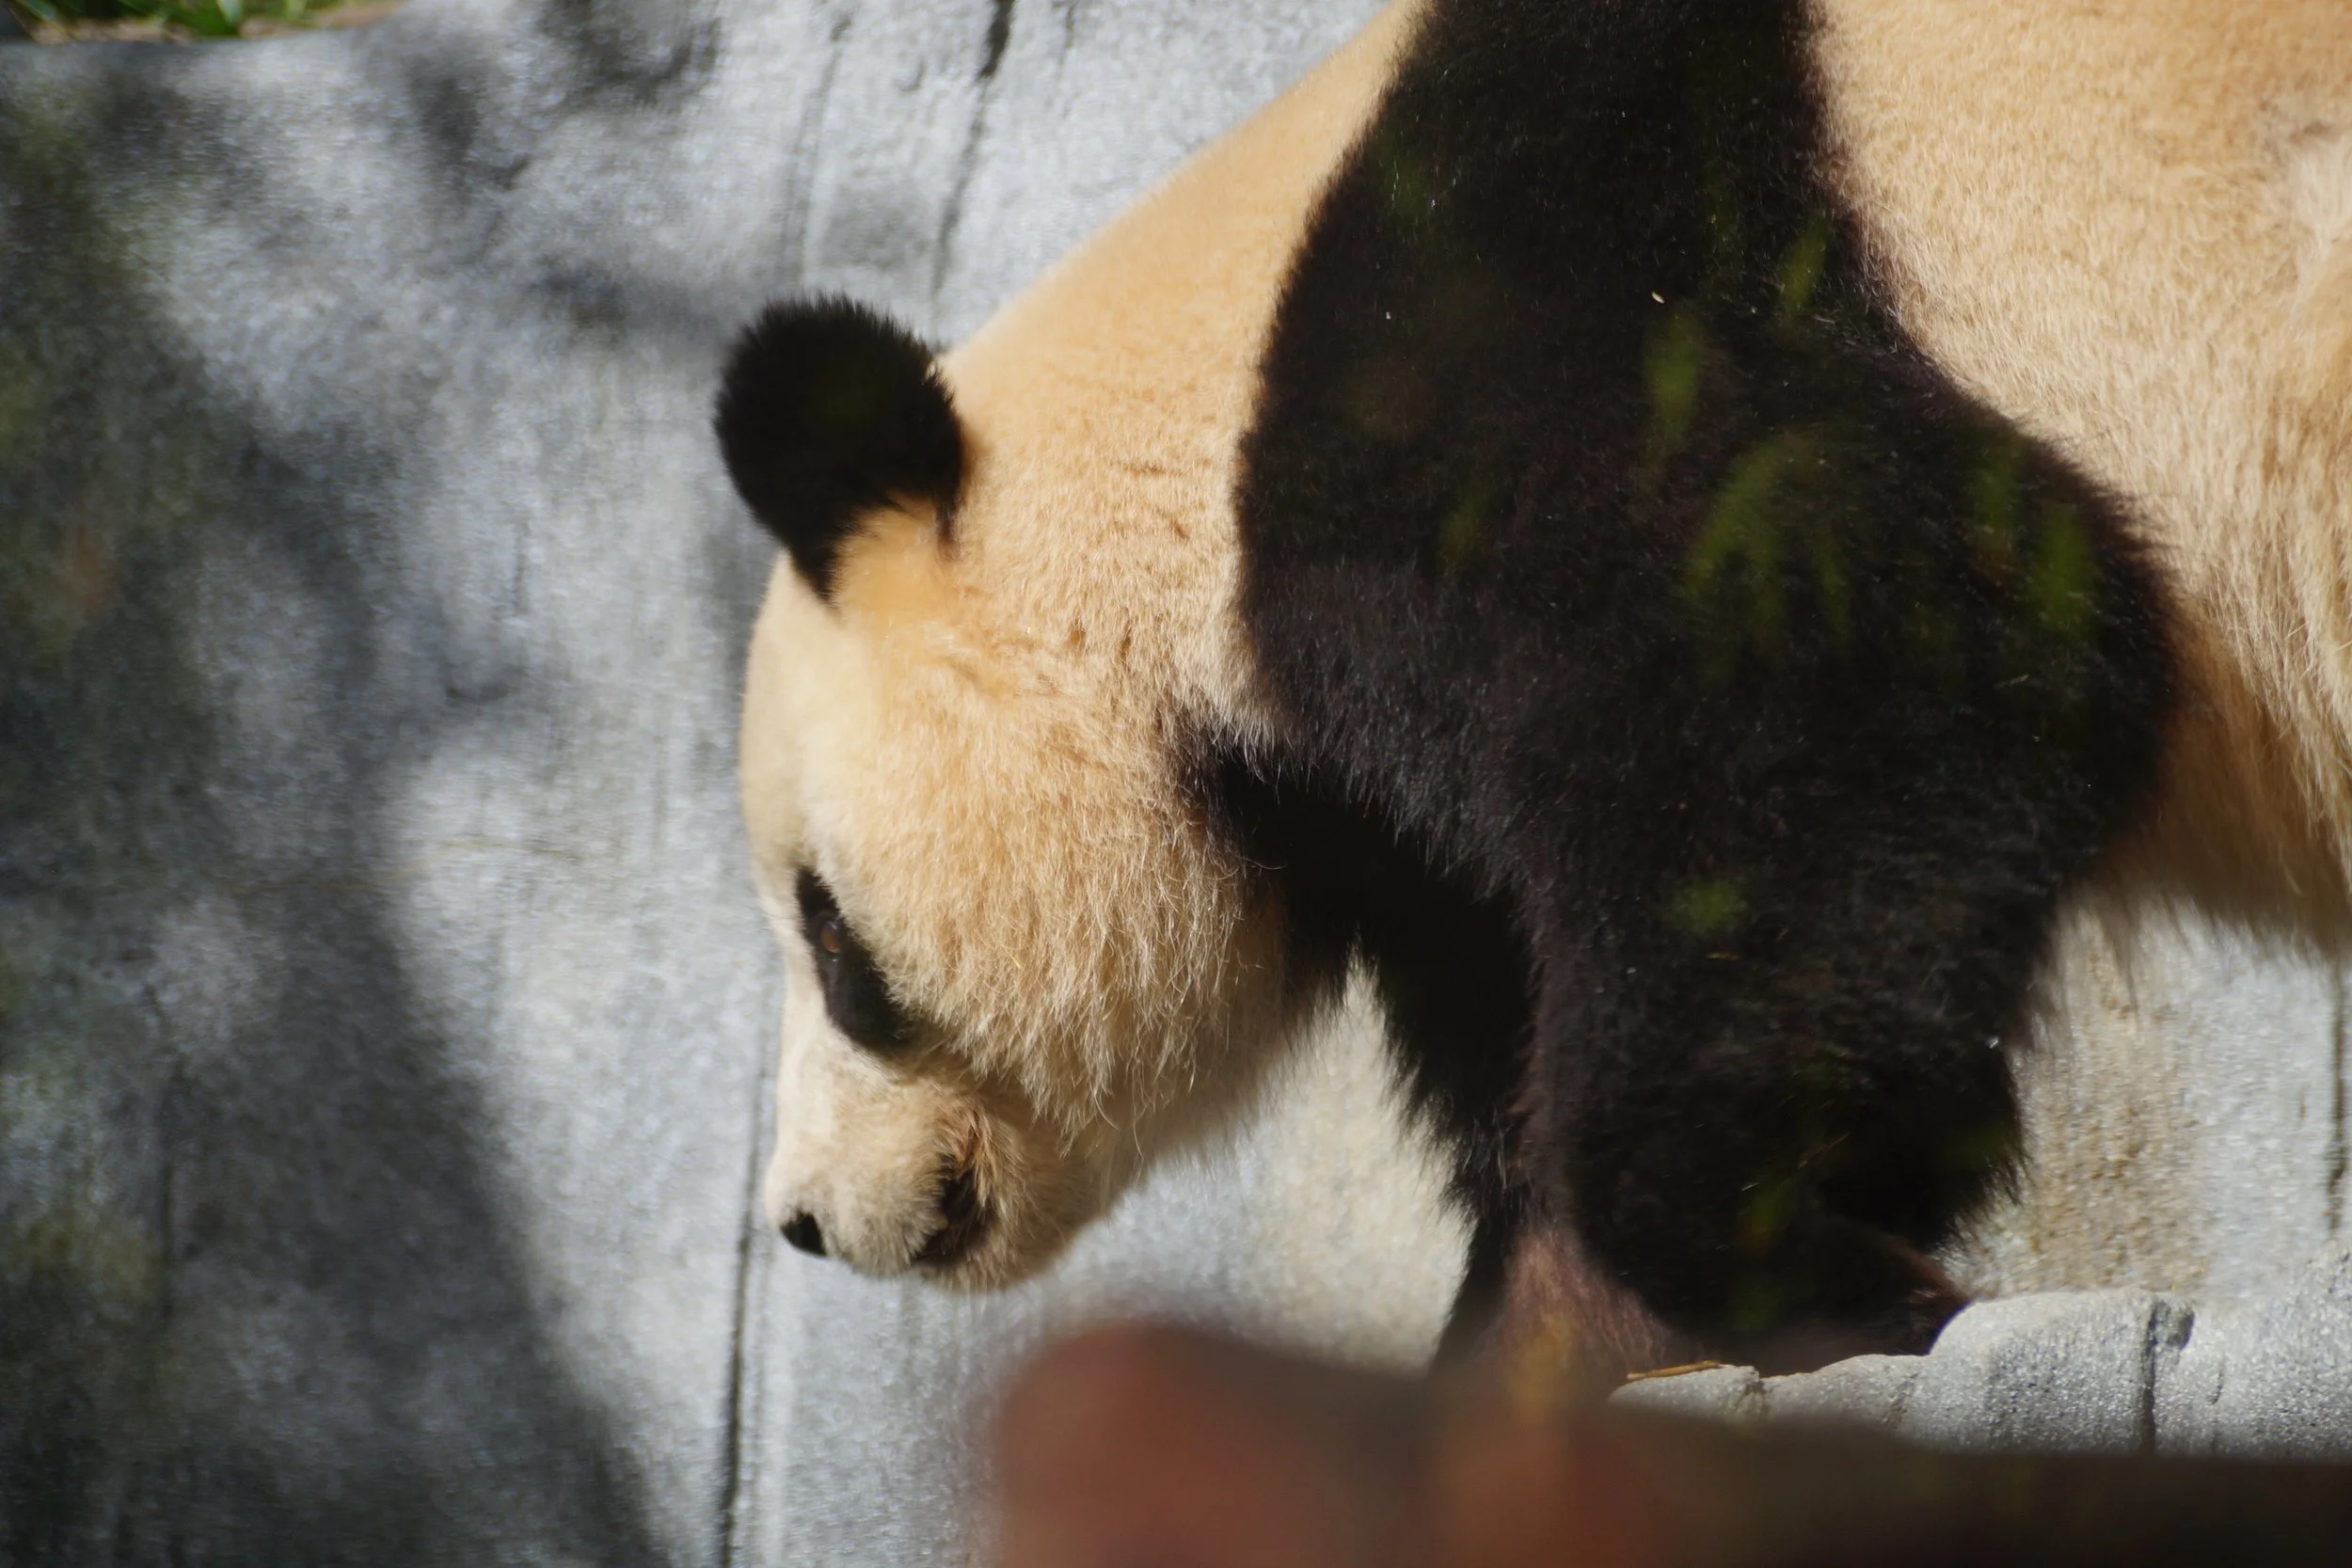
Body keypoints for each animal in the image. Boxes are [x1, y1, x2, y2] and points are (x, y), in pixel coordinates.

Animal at [715, 0, 2352, 1387]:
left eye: (831, 932)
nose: (804, 1213)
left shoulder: (1510, 349)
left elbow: (1881, 656)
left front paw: (1786, 1243)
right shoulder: (1399, 834)